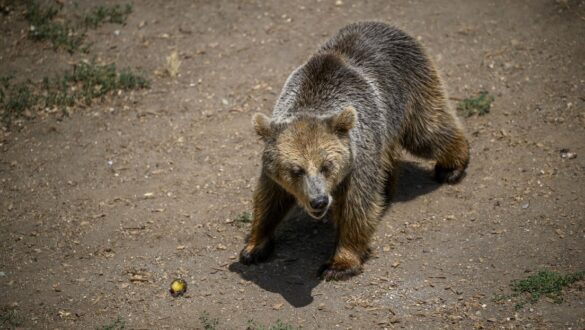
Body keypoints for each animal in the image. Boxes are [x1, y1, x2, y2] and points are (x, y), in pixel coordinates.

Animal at [237, 21, 470, 282]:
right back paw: (388, 188)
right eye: (295, 170)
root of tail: (387, 25)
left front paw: (339, 263)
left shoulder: (357, 159)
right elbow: (269, 198)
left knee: (428, 131)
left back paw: (451, 167)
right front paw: (254, 247)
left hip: (409, 89)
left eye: (327, 166)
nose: (318, 201)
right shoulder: (274, 167)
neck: (312, 100)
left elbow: (356, 207)